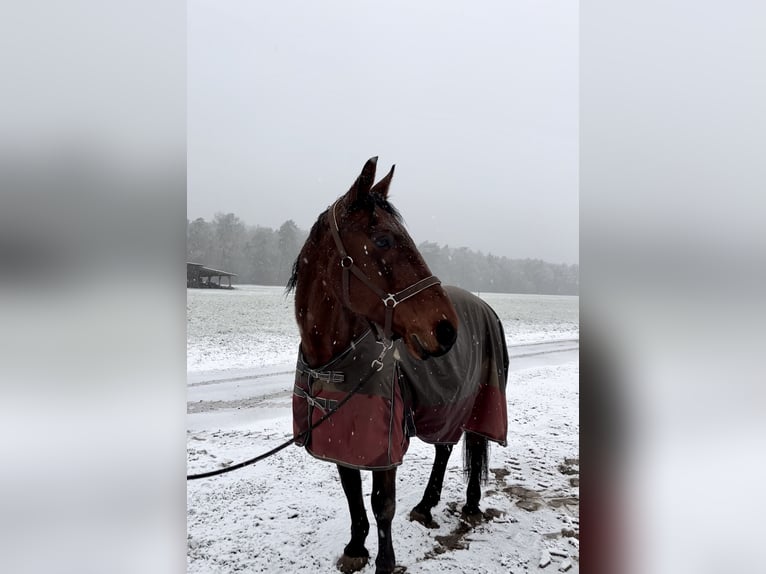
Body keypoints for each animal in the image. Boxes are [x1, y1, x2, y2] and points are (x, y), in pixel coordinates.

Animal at [288, 158, 510, 574]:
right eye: (383, 241)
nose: (446, 329)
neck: (333, 361)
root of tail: (484, 305)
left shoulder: (385, 447)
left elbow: (382, 506)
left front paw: (385, 562)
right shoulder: (342, 440)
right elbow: (353, 495)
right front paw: (356, 547)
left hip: (481, 399)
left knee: (474, 442)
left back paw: (470, 505)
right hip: (447, 403)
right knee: (445, 447)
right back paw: (426, 506)